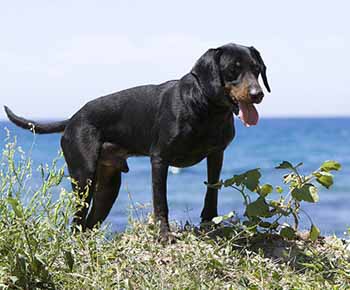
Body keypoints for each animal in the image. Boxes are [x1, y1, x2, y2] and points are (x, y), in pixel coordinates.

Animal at [3, 43, 270, 241]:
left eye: (257, 68)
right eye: (233, 69)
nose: (257, 94)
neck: (205, 108)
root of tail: (72, 119)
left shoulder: (216, 154)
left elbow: (212, 190)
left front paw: (209, 222)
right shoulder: (160, 159)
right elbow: (160, 202)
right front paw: (164, 236)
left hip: (108, 186)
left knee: (88, 224)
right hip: (84, 178)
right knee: (77, 222)